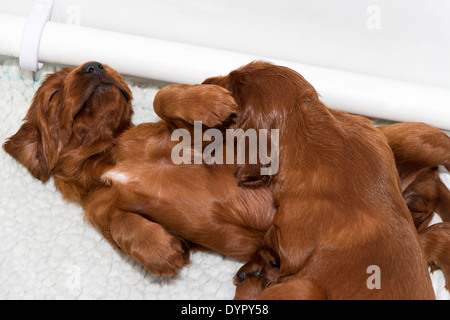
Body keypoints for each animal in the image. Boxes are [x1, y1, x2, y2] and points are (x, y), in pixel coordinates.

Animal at [203, 60, 436, 300]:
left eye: (232, 88)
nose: (203, 83)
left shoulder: (291, 232)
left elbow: (272, 240)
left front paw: (256, 266)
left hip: (304, 287)